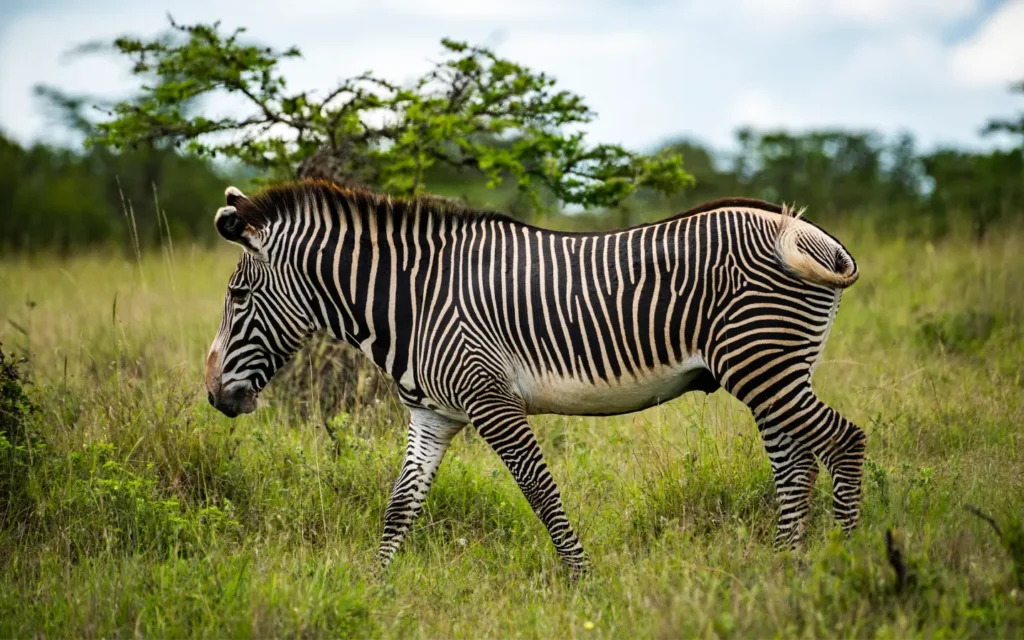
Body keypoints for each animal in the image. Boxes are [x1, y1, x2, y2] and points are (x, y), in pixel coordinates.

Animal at [205, 180, 865, 577]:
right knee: (794, 463)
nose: (213, 395)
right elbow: (399, 508)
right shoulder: (431, 415)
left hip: (763, 363)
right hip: (770, 370)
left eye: (237, 297)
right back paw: (785, 565)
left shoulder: (491, 400)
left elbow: (541, 493)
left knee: (844, 442)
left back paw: (846, 562)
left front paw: (585, 582)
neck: (413, 301)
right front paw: (374, 587)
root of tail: (804, 230)